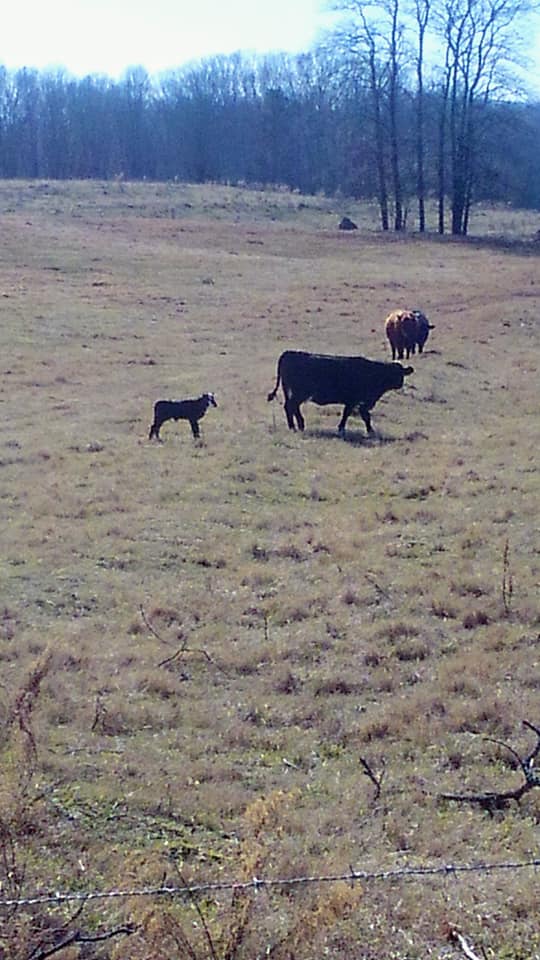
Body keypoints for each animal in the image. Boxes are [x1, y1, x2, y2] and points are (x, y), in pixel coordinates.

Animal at [267, 350, 413, 436]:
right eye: (394, 374)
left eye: (401, 373)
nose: (400, 384)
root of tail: (288, 353)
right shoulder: (356, 401)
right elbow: (354, 415)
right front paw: (346, 429)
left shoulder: (358, 402)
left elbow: (361, 415)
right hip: (299, 393)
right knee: (291, 406)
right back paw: (296, 426)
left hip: (291, 392)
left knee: (291, 407)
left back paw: (297, 426)